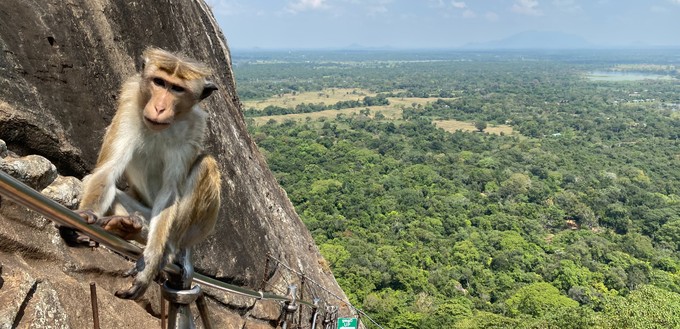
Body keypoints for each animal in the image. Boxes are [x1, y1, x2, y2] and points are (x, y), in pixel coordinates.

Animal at [76, 46, 220, 300]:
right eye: (159, 82)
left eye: (177, 88)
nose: (160, 107)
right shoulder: (129, 104)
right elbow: (107, 170)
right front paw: (87, 214)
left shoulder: (194, 126)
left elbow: (170, 191)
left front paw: (152, 260)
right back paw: (128, 226)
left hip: (193, 233)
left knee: (206, 165)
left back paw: (170, 250)